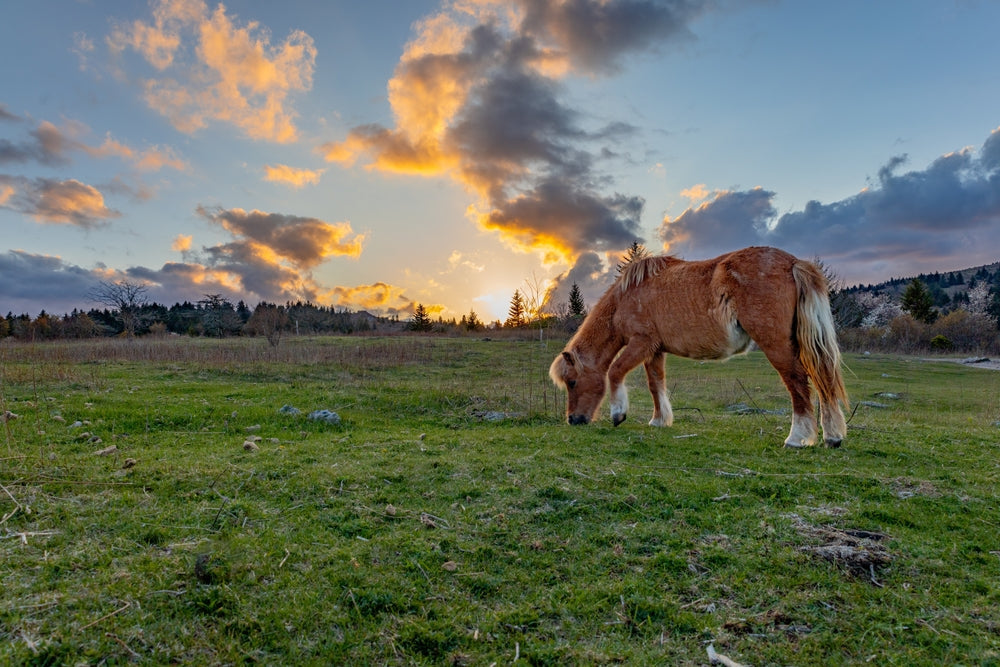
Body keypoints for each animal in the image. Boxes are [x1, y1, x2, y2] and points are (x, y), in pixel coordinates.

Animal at [549, 246, 848, 448]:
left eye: (572, 382)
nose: (573, 420)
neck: (628, 294)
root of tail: (794, 262)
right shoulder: (654, 350)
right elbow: (656, 384)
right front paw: (660, 420)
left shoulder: (641, 342)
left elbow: (615, 372)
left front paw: (619, 413)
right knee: (822, 379)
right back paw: (832, 437)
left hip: (777, 346)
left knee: (798, 382)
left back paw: (798, 438)